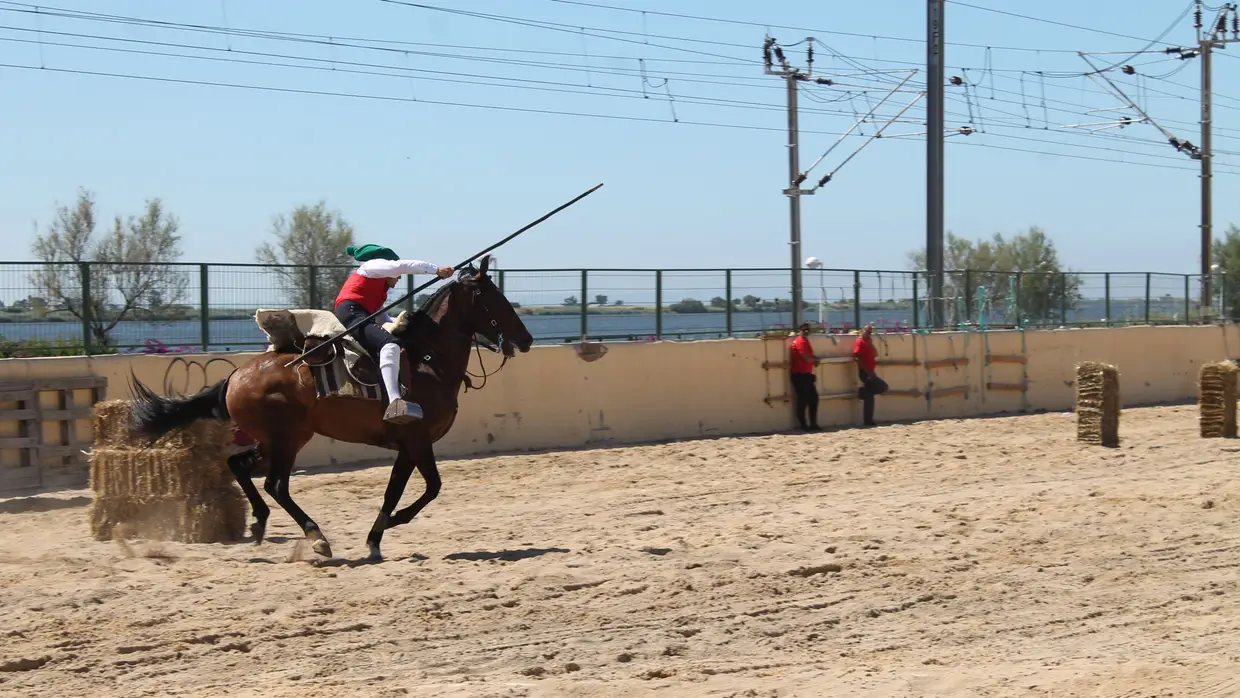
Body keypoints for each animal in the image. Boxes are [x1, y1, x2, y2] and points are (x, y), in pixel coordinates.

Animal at [127, 256, 533, 562]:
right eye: (493, 297)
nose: (527, 339)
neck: (426, 360)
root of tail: (235, 376)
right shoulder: (417, 440)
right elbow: (430, 487)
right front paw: (392, 524)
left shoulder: (408, 447)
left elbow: (397, 491)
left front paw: (376, 537)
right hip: (286, 439)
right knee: (276, 484)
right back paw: (316, 537)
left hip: (279, 439)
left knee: (239, 465)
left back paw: (260, 521)